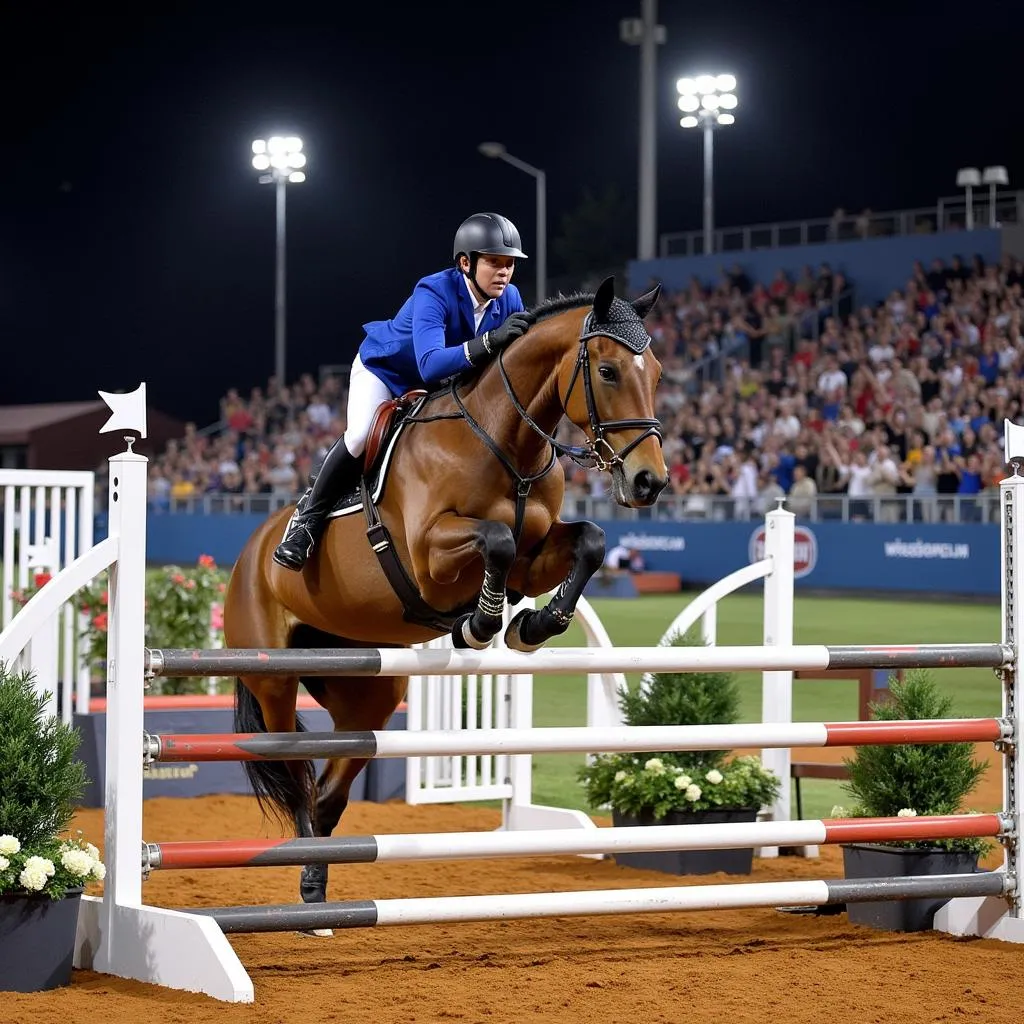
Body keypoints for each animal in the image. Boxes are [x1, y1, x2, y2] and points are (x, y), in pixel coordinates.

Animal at [224, 274, 667, 921]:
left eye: (655, 371)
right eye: (607, 371)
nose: (649, 481)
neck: (505, 441)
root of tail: (247, 553)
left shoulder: (537, 555)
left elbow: (587, 540)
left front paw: (531, 627)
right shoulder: (432, 558)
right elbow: (497, 539)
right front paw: (480, 624)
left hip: (368, 696)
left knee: (328, 790)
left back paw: (315, 888)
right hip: (273, 682)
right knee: (298, 771)